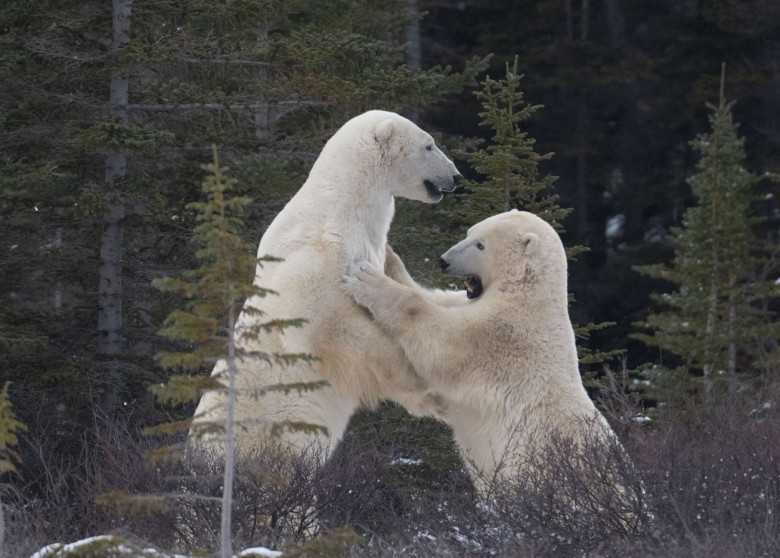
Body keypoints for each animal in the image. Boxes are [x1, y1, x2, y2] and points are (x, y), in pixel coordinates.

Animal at [192, 109, 460, 460]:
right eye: (428, 145)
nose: (456, 176)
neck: (340, 208)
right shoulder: (318, 268)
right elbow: (340, 330)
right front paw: (428, 385)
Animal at [346, 210, 620, 490]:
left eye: (481, 245)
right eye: (469, 232)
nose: (443, 261)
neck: (526, 292)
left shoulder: (502, 334)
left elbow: (440, 341)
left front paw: (365, 277)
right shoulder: (469, 302)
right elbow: (434, 296)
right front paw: (388, 251)